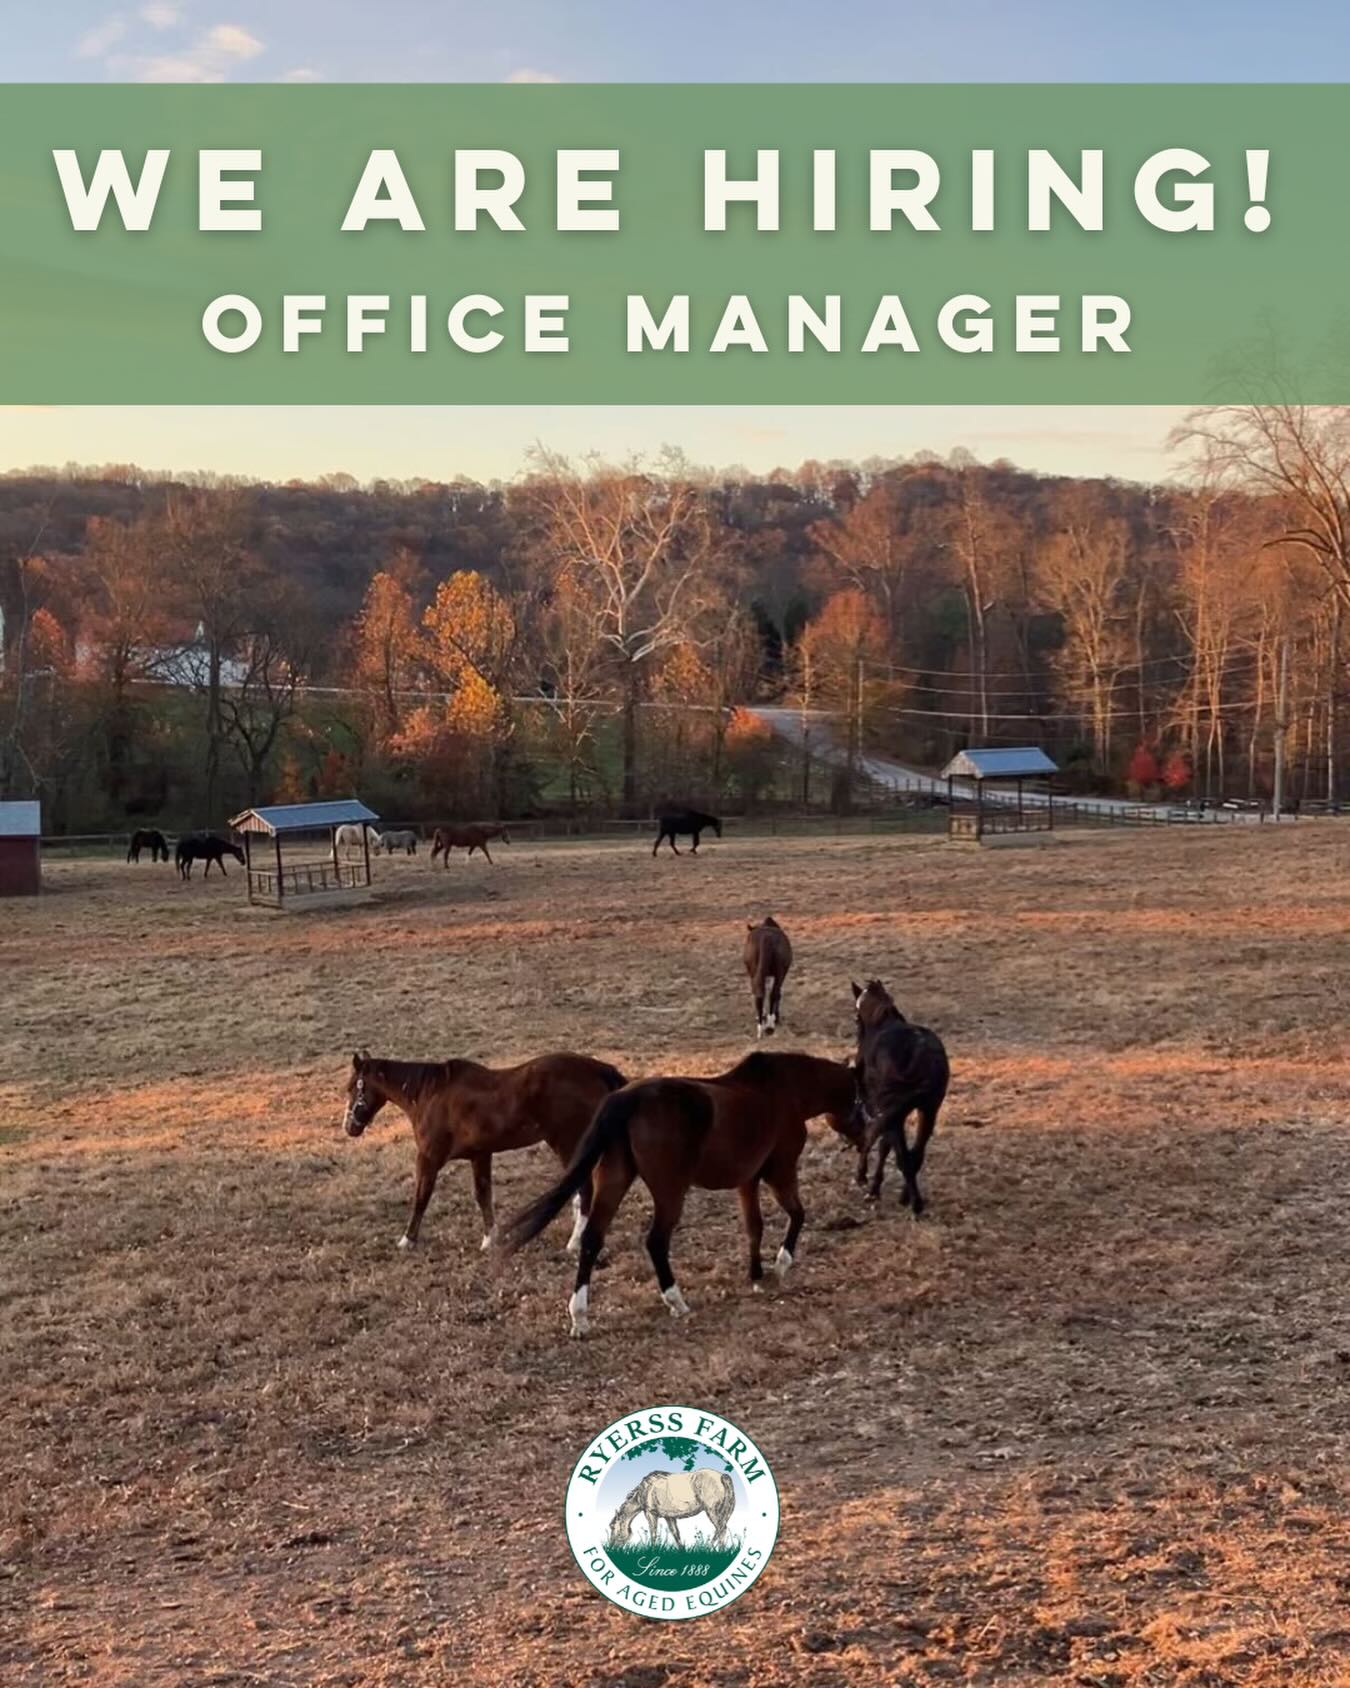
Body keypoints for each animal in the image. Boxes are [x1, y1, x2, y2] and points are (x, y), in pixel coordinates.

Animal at [341, 1049, 627, 1252]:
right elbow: (483, 1195)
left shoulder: (429, 1158)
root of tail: (599, 1069)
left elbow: (421, 1197)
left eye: (353, 1087)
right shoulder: (480, 1155)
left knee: (585, 1188)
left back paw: (574, 1242)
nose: (349, 1127)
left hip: (567, 1143)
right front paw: (490, 1239)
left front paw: (407, 1240)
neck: (429, 1095)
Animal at [501, 1050, 858, 1338]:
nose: (863, 1129)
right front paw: (781, 1265)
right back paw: (676, 1300)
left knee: (592, 1239)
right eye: (860, 1092)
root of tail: (626, 1099)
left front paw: (756, 1274)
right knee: (656, 1241)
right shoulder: (780, 1173)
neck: (783, 1091)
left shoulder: (748, 1181)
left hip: (615, 1179)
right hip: (670, 1190)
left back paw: (580, 1317)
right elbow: (797, 1214)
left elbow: (753, 1226)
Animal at [851, 979, 950, 1214]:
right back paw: (907, 1196)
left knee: (902, 1154)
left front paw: (869, 1185)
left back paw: (914, 1203)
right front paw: (875, 1187)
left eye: (856, 1016)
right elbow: (886, 1145)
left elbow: (878, 1140)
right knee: (915, 1154)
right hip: (928, 1110)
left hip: (896, 1108)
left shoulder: (879, 1106)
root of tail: (924, 1055)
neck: (880, 1022)